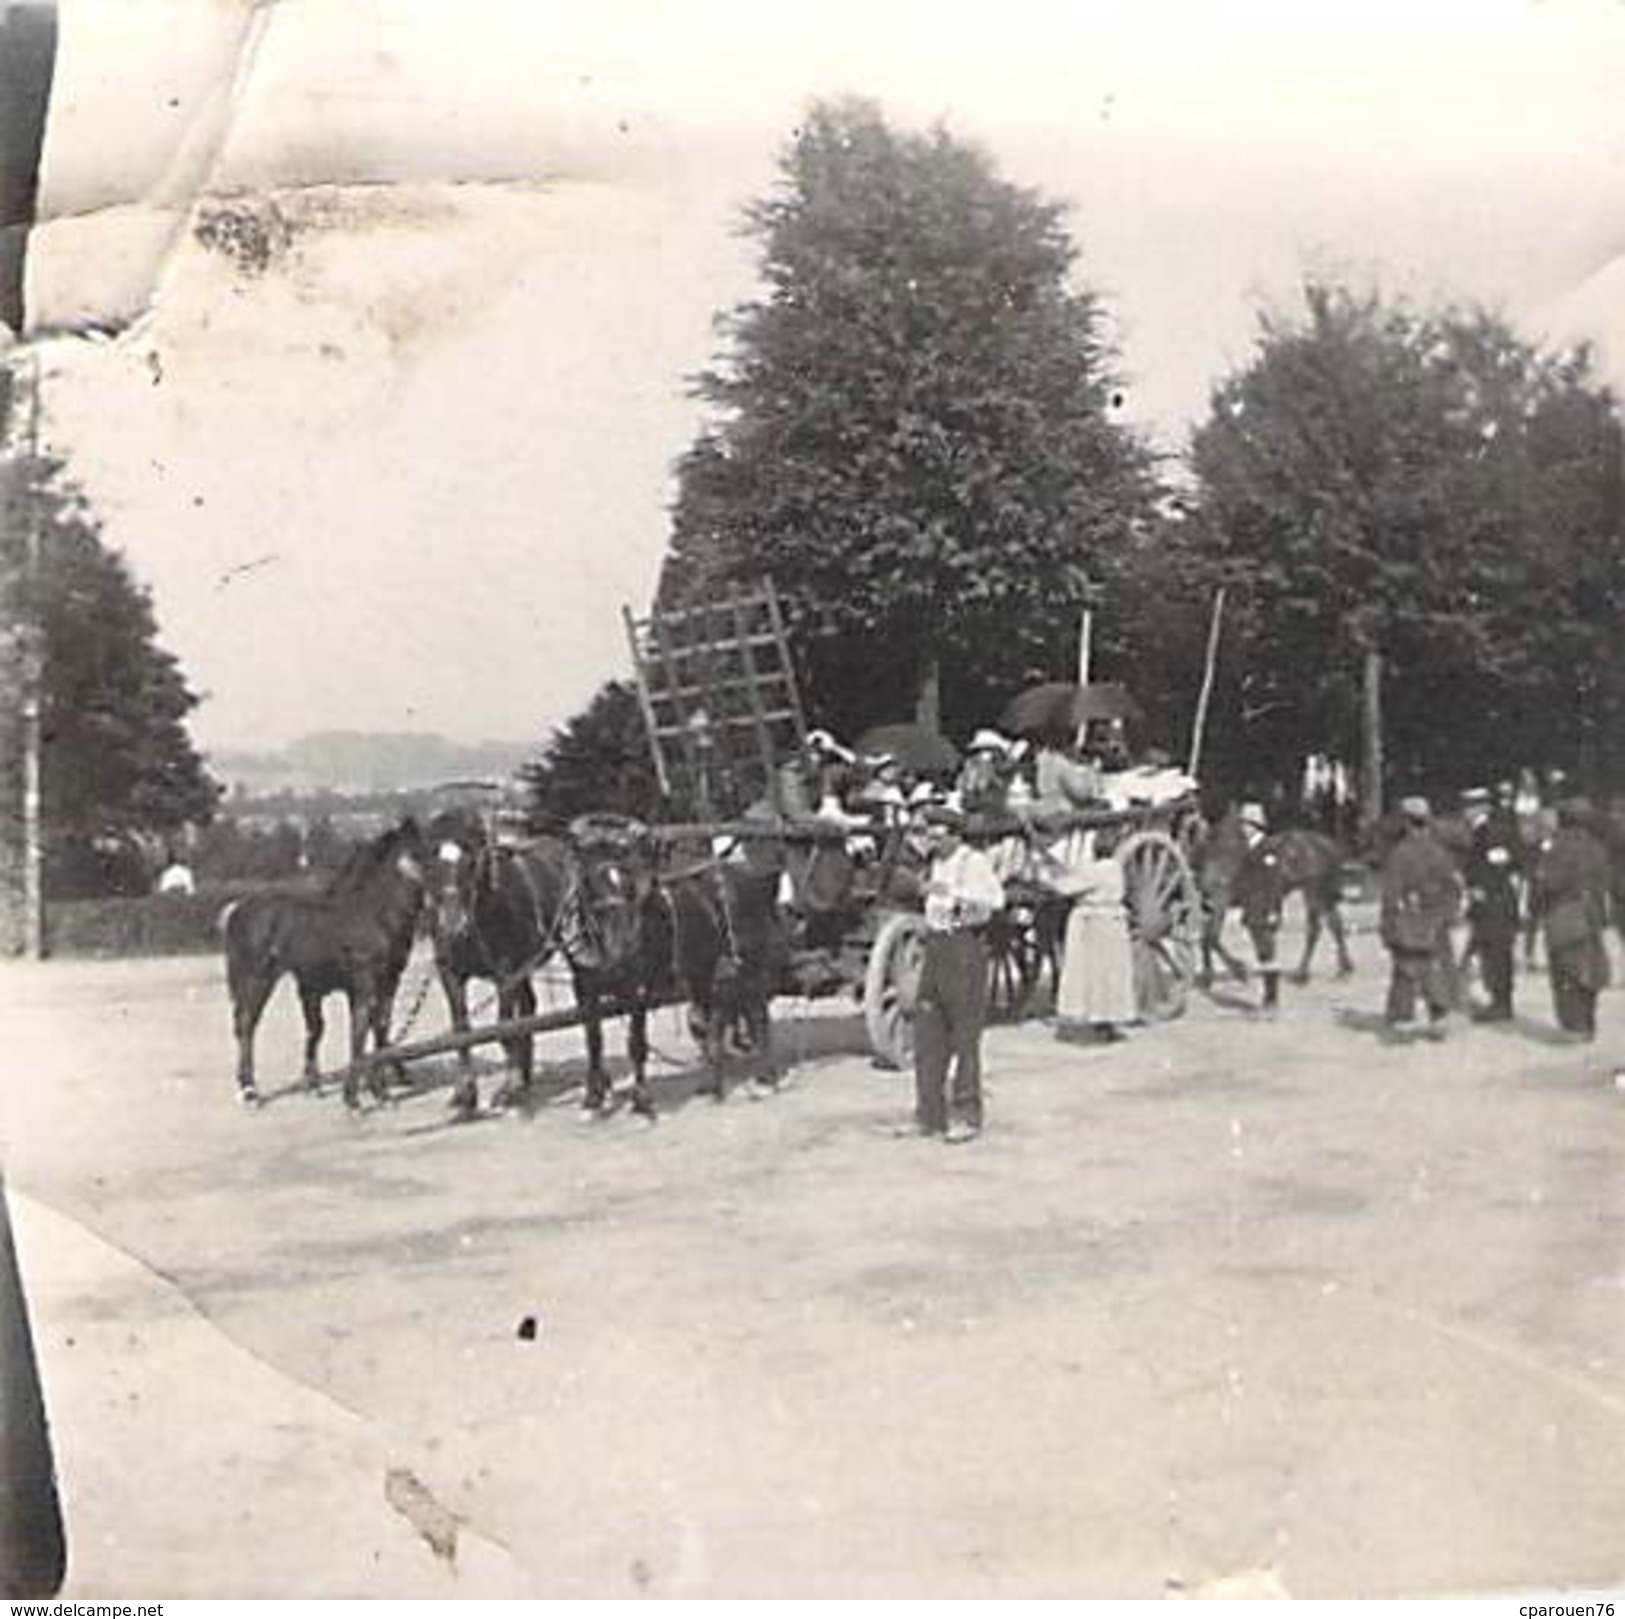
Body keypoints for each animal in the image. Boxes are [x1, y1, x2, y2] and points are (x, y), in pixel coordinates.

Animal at [225, 822, 438, 1111]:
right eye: (417, 854)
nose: (442, 892)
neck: (374, 915)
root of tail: (237, 910)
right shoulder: (364, 985)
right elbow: (359, 1032)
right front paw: (354, 1100)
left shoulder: (388, 983)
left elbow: (380, 1029)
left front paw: (381, 1094)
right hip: (258, 979)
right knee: (247, 1024)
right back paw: (250, 1092)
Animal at [425, 806, 578, 1111]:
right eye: (432, 864)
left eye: (472, 862)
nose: (453, 926)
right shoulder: (451, 974)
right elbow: (461, 1028)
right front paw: (465, 1092)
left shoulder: (505, 973)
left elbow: (504, 1027)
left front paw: (508, 1088)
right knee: (529, 1005)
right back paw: (526, 1074)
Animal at [1196, 806, 1358, 988]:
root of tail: (1326, 844)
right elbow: (1207, 936)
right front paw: (1209, 975)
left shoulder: (1222, 899)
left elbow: (1212, 937)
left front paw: (1238, 970)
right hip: (1319, 893)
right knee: (1334, 923)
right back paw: (1343, 968)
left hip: (1313, 891)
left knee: (1315, 929)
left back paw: (1302, 974)